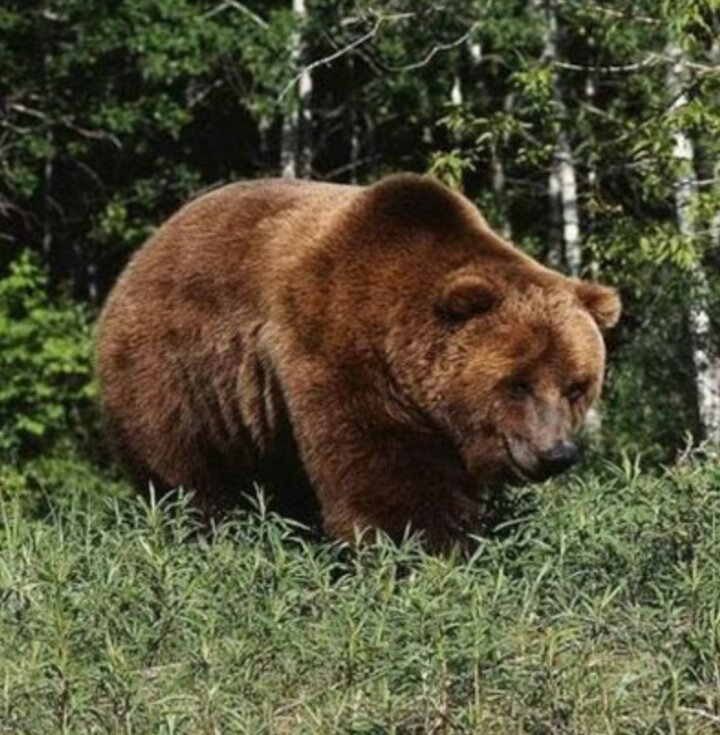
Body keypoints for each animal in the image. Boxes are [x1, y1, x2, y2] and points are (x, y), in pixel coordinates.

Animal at [95, 175, 620, 548]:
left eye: (577, 386)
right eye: (518, 383)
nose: (556, 453)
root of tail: (144, 251)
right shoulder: (337, 350)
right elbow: (384, 474)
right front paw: (427, 548)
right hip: (175, 373)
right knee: (183, 470)